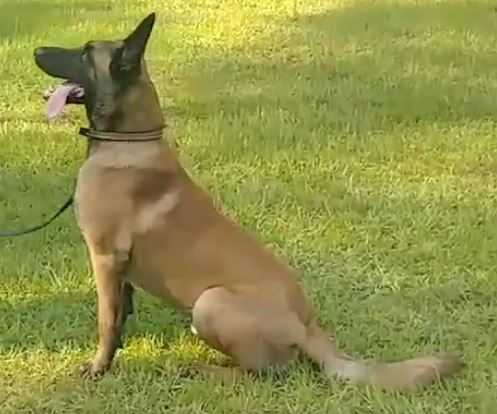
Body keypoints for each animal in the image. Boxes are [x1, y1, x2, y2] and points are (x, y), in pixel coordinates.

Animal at [33, 13, 462, 391]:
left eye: (85, 53)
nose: (36, 49)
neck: (129, 141)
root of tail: (308, 325)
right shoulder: (120, 269)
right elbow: (121, 315)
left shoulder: (105, 257)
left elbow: (106, 322)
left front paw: (98, 368)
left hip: (210, 303)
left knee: (268, 373)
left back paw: (200, 370)